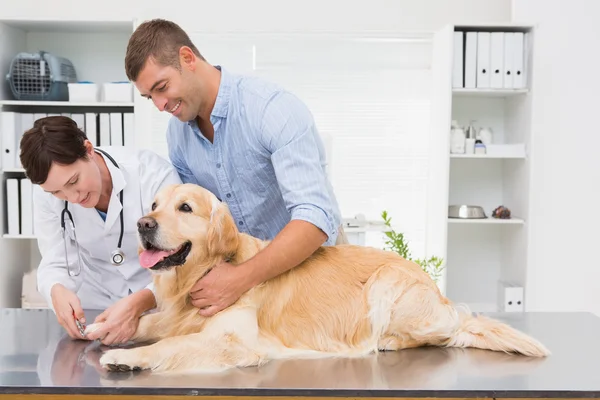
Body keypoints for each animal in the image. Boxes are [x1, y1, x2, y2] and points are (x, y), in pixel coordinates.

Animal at [86, 183, 552, 374]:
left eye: (185, 207)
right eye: (154, 204)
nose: (142, 224)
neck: (202, 272)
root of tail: (441, 296)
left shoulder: (232, 341)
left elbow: (169, 345)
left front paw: (124, 357)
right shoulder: (174, 316)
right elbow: (151, 323)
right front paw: (104, 327)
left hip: (387, 283)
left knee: (445, 333)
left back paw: (387, 341)